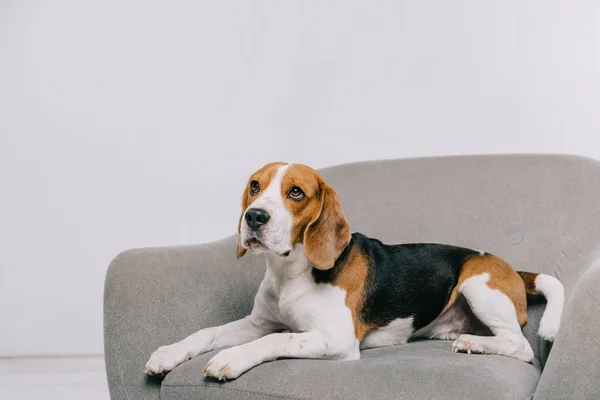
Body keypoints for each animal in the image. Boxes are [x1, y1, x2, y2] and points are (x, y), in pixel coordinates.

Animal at [144, 161, 564, 380]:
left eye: (295, 192)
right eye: (254, 186)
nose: (254, 217)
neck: (290, 272)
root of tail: (511, 268)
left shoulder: (335, 339)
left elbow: (278, 339)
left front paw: (231, 358)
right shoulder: (256, 322)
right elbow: (209, 332)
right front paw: (168, 353)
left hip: (478, 284)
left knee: (520, 345)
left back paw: (476, 343)